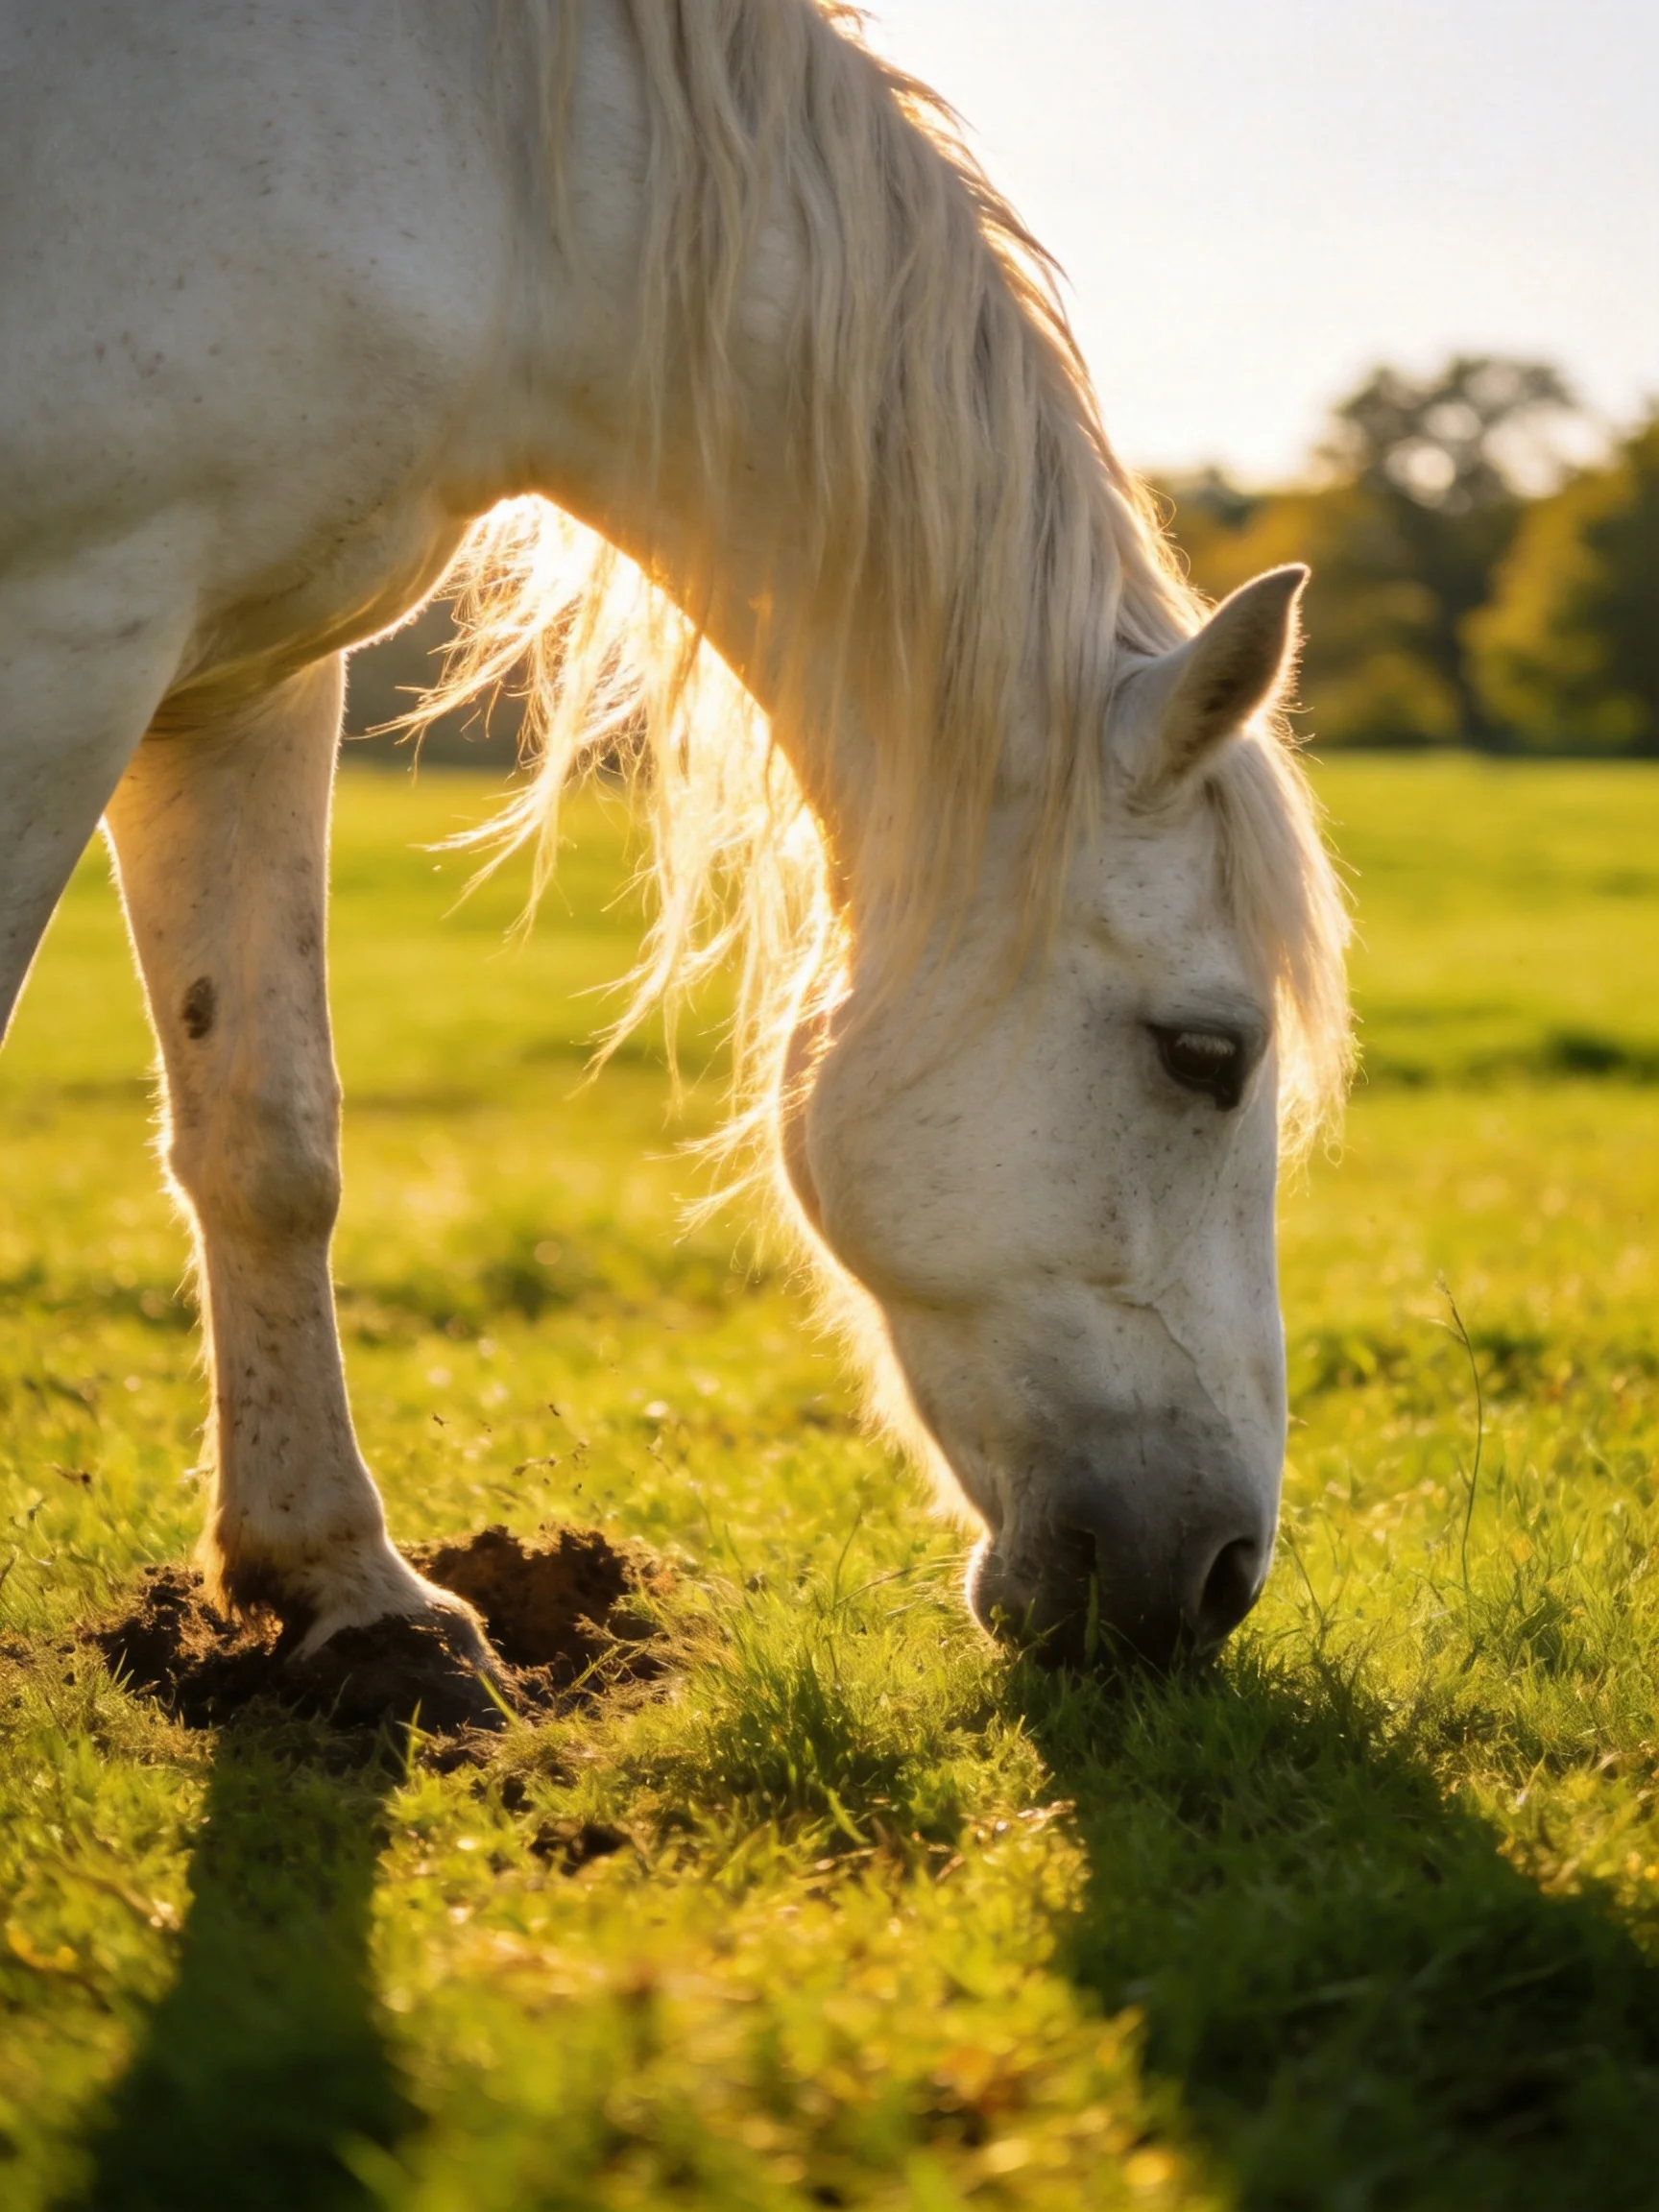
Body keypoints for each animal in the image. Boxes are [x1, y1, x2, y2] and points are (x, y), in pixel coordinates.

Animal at [0, 0, 1350, 1693]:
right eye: (1204, 1054)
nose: (1219, 1579)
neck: (486, 164)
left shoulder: (242, 676)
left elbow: (269, 1142)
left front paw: (356, 1597)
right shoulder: (68, 632)